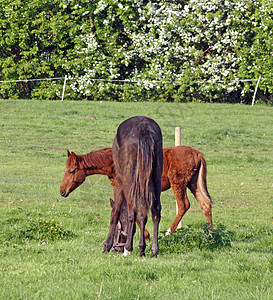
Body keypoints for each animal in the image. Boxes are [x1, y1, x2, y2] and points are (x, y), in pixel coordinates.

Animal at [59, 145, 212, 239]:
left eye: (71, 171)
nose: (62, 191)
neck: (114, 162)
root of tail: (197, 153)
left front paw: (146, 236)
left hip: (178, 183)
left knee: (183, 205)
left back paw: (168, 232)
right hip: (193, 183)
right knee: (205, 204)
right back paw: (210, 233)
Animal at [101, 116, 162, 256]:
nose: (117, 248)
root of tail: (145, 129)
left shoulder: (119, 181)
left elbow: (116, 212)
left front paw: (107, 245)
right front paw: (142, 247)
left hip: (129, 179)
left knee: (132, 211)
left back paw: (129, 248)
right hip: (156, 175)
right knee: (155, 209)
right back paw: (152, 250)